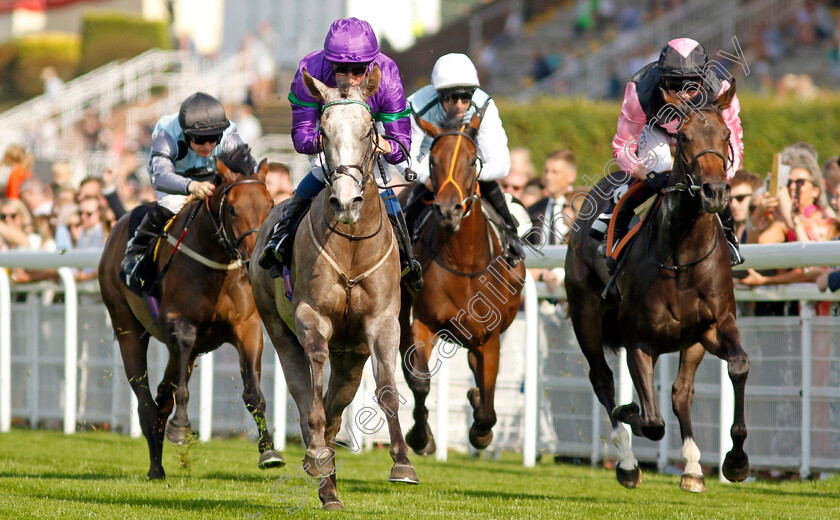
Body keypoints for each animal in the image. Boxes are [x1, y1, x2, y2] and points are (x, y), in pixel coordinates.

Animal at [95, 152, 278, 478]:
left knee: (160, 396)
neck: (216, 266)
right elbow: (180, 389)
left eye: (269, 205)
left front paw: (268, 450)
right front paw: (180, 428)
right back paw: (156, 467)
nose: (254, 259)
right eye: (233, 209)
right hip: (126, 327)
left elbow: (254, 394)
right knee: (146, 400)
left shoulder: (247, 328)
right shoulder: (180, 325)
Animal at [249, 66, 420, 512]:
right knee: (303, 390)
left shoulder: (382, 322)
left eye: (368, 130)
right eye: (324, 131)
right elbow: (312, 386)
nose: (346, 202)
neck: (352, 244)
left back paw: (329, 473)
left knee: (337, 401)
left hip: (353, 352)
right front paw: (316, 456)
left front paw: (402, 464)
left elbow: (388, 390)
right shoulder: (312, 317)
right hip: (277, 325)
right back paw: (321, 466)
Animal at [398, 110, 520, 456]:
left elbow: (488, 404)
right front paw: (420, 437)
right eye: (433, 160)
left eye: (471, 160)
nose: (448, 210)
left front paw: (481, 431)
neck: (463, 262)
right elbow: (420, 380)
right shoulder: (424, 322)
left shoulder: (489, 338)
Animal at [564, 85, 748, 492]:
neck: (682, 256)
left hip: (690, 342)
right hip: (585, 315)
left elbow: (739, 366)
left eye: (725, 135)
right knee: (603, 381)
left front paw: (737, 460)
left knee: (681, 393)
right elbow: (650, 421)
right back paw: (627, 462)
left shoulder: (714, 327)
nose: (715, 192)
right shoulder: (638, 341)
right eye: (684, 137)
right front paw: (630, 410)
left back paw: (693, 467)